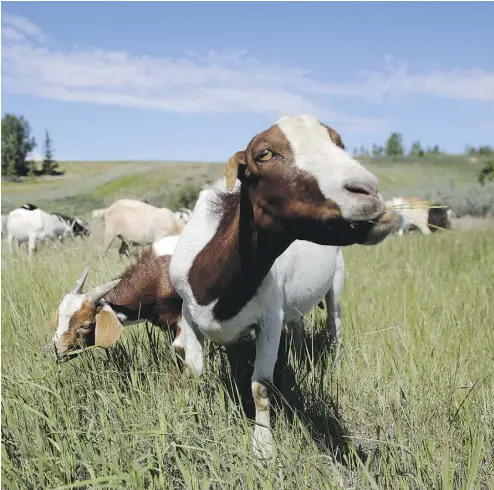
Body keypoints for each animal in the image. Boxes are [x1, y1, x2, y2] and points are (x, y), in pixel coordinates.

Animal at [170, 115, 398, 460]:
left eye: (339, 144)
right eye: (264, 154)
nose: (368, 190)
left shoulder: (270, 318)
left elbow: (260, 386)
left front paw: (263, 446)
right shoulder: (188, 311)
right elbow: (193, 373)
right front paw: (186, 422)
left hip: (336, 282)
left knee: (334, 324)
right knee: (299, 326)